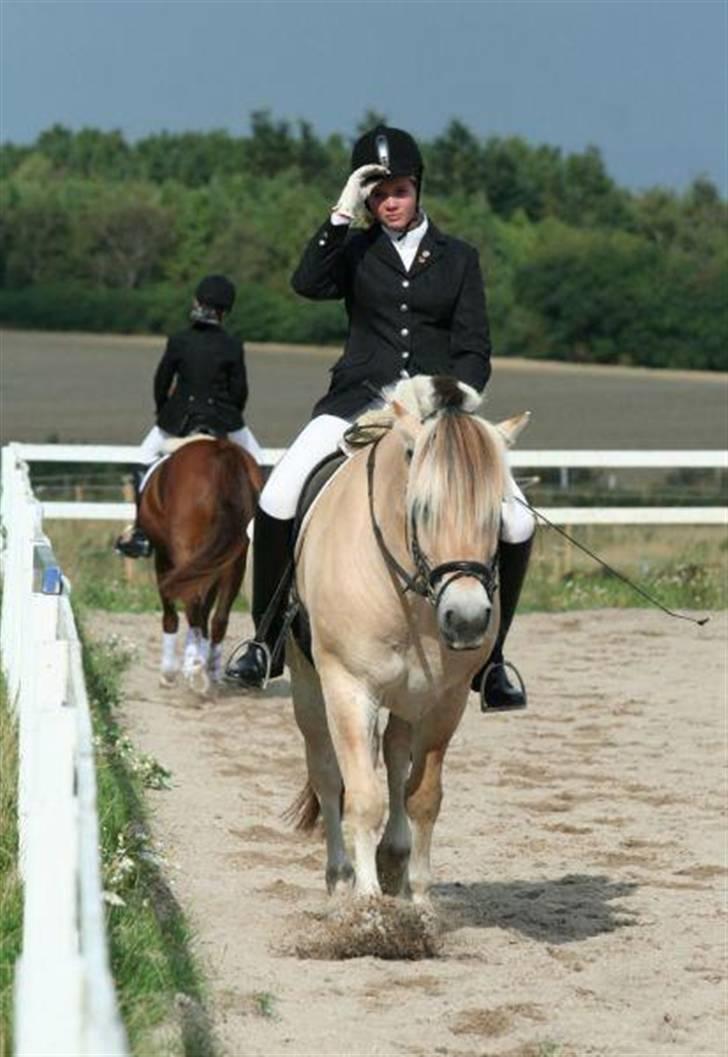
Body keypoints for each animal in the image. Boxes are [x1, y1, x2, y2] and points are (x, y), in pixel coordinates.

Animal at [138, 433, 260, 689]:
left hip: (186, 551)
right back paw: (211, 671)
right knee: (219, 616)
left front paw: (169, 672)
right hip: (234, 559)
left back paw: (193, 669)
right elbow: (206, 610)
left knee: (192, 605)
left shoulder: (165, 558)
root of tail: (221, 453)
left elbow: (171, 612)